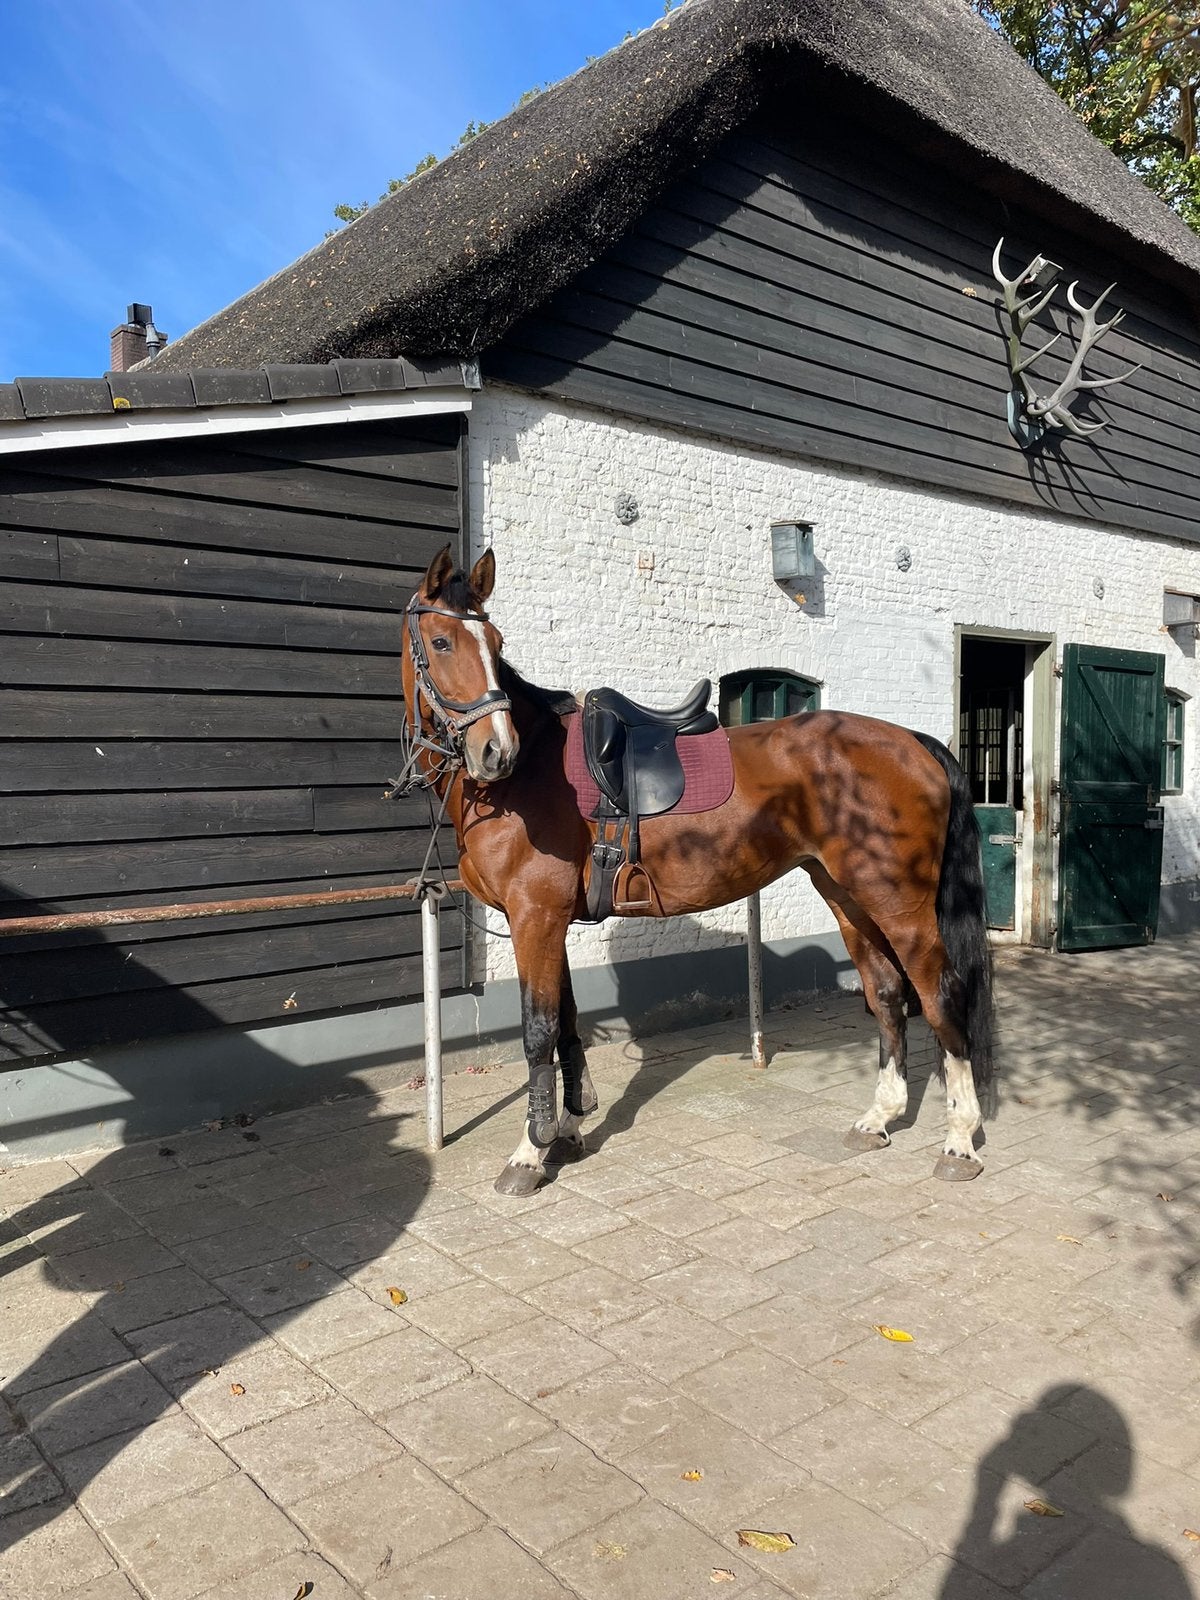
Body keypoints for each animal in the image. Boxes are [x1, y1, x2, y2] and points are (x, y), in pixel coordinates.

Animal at [398, 545, 995, 1197]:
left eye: (496, 642)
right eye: (440, 642)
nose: (494, 752)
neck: (530, 774)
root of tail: (911, 741)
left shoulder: (536, 917)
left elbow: (539, 1031)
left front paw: (529, 1155)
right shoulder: (548, 922)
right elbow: (568, 1023)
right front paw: (569, 1129)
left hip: (900, 903)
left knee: (941, 996)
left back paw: (959, 1141)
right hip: (846, 894)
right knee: (887, 995)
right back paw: (879, 1118)